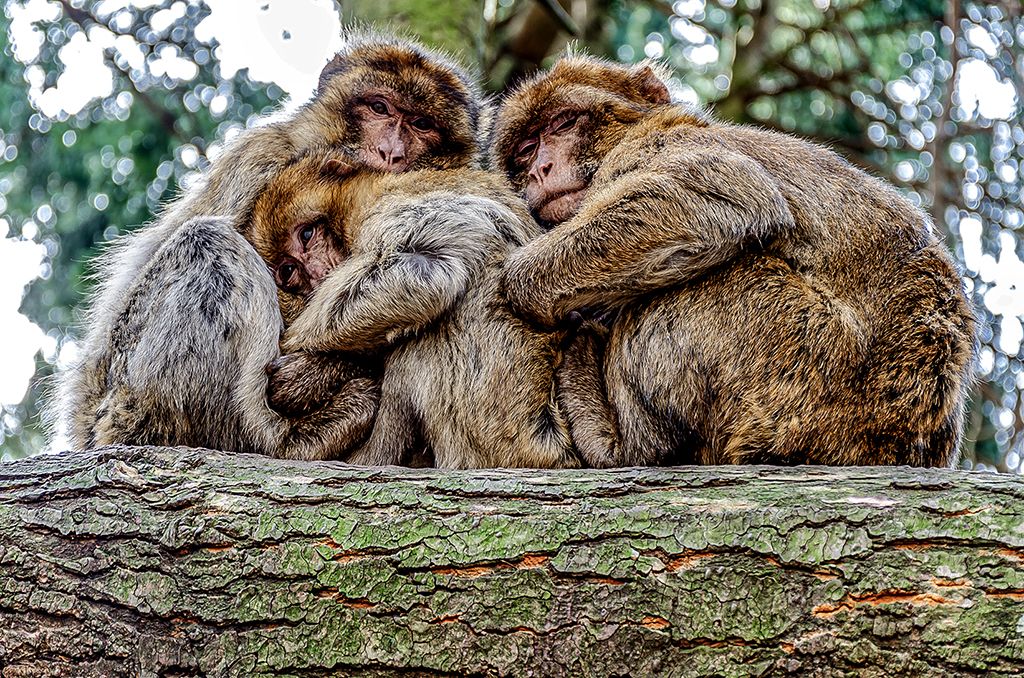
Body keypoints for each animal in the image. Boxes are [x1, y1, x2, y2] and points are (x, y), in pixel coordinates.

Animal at [246, 155, 585, 471]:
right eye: (289, 270)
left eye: (306, 235)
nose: (317, 275)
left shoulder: (388, 208)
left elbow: (428, 269)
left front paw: (306, 361)